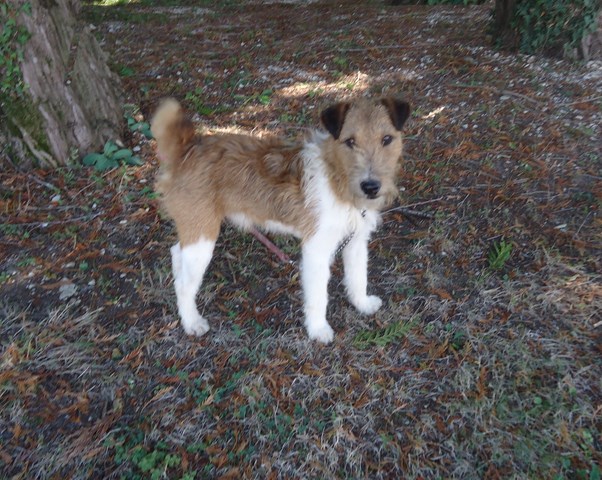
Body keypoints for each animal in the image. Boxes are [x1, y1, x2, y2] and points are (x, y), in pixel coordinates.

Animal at [152, 95, 410, 344]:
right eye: (350, 142)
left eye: (387, 139)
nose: (371, 187)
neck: (337, 178)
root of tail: (186, 149)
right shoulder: (316, 251)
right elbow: (318, 296)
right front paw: (318, 329)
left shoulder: (355, 242)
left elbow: (358, 277)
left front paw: (362, 304)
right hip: (202, 238)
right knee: (183, 285)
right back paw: (191, 322)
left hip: (195, 232)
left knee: (176, 254)